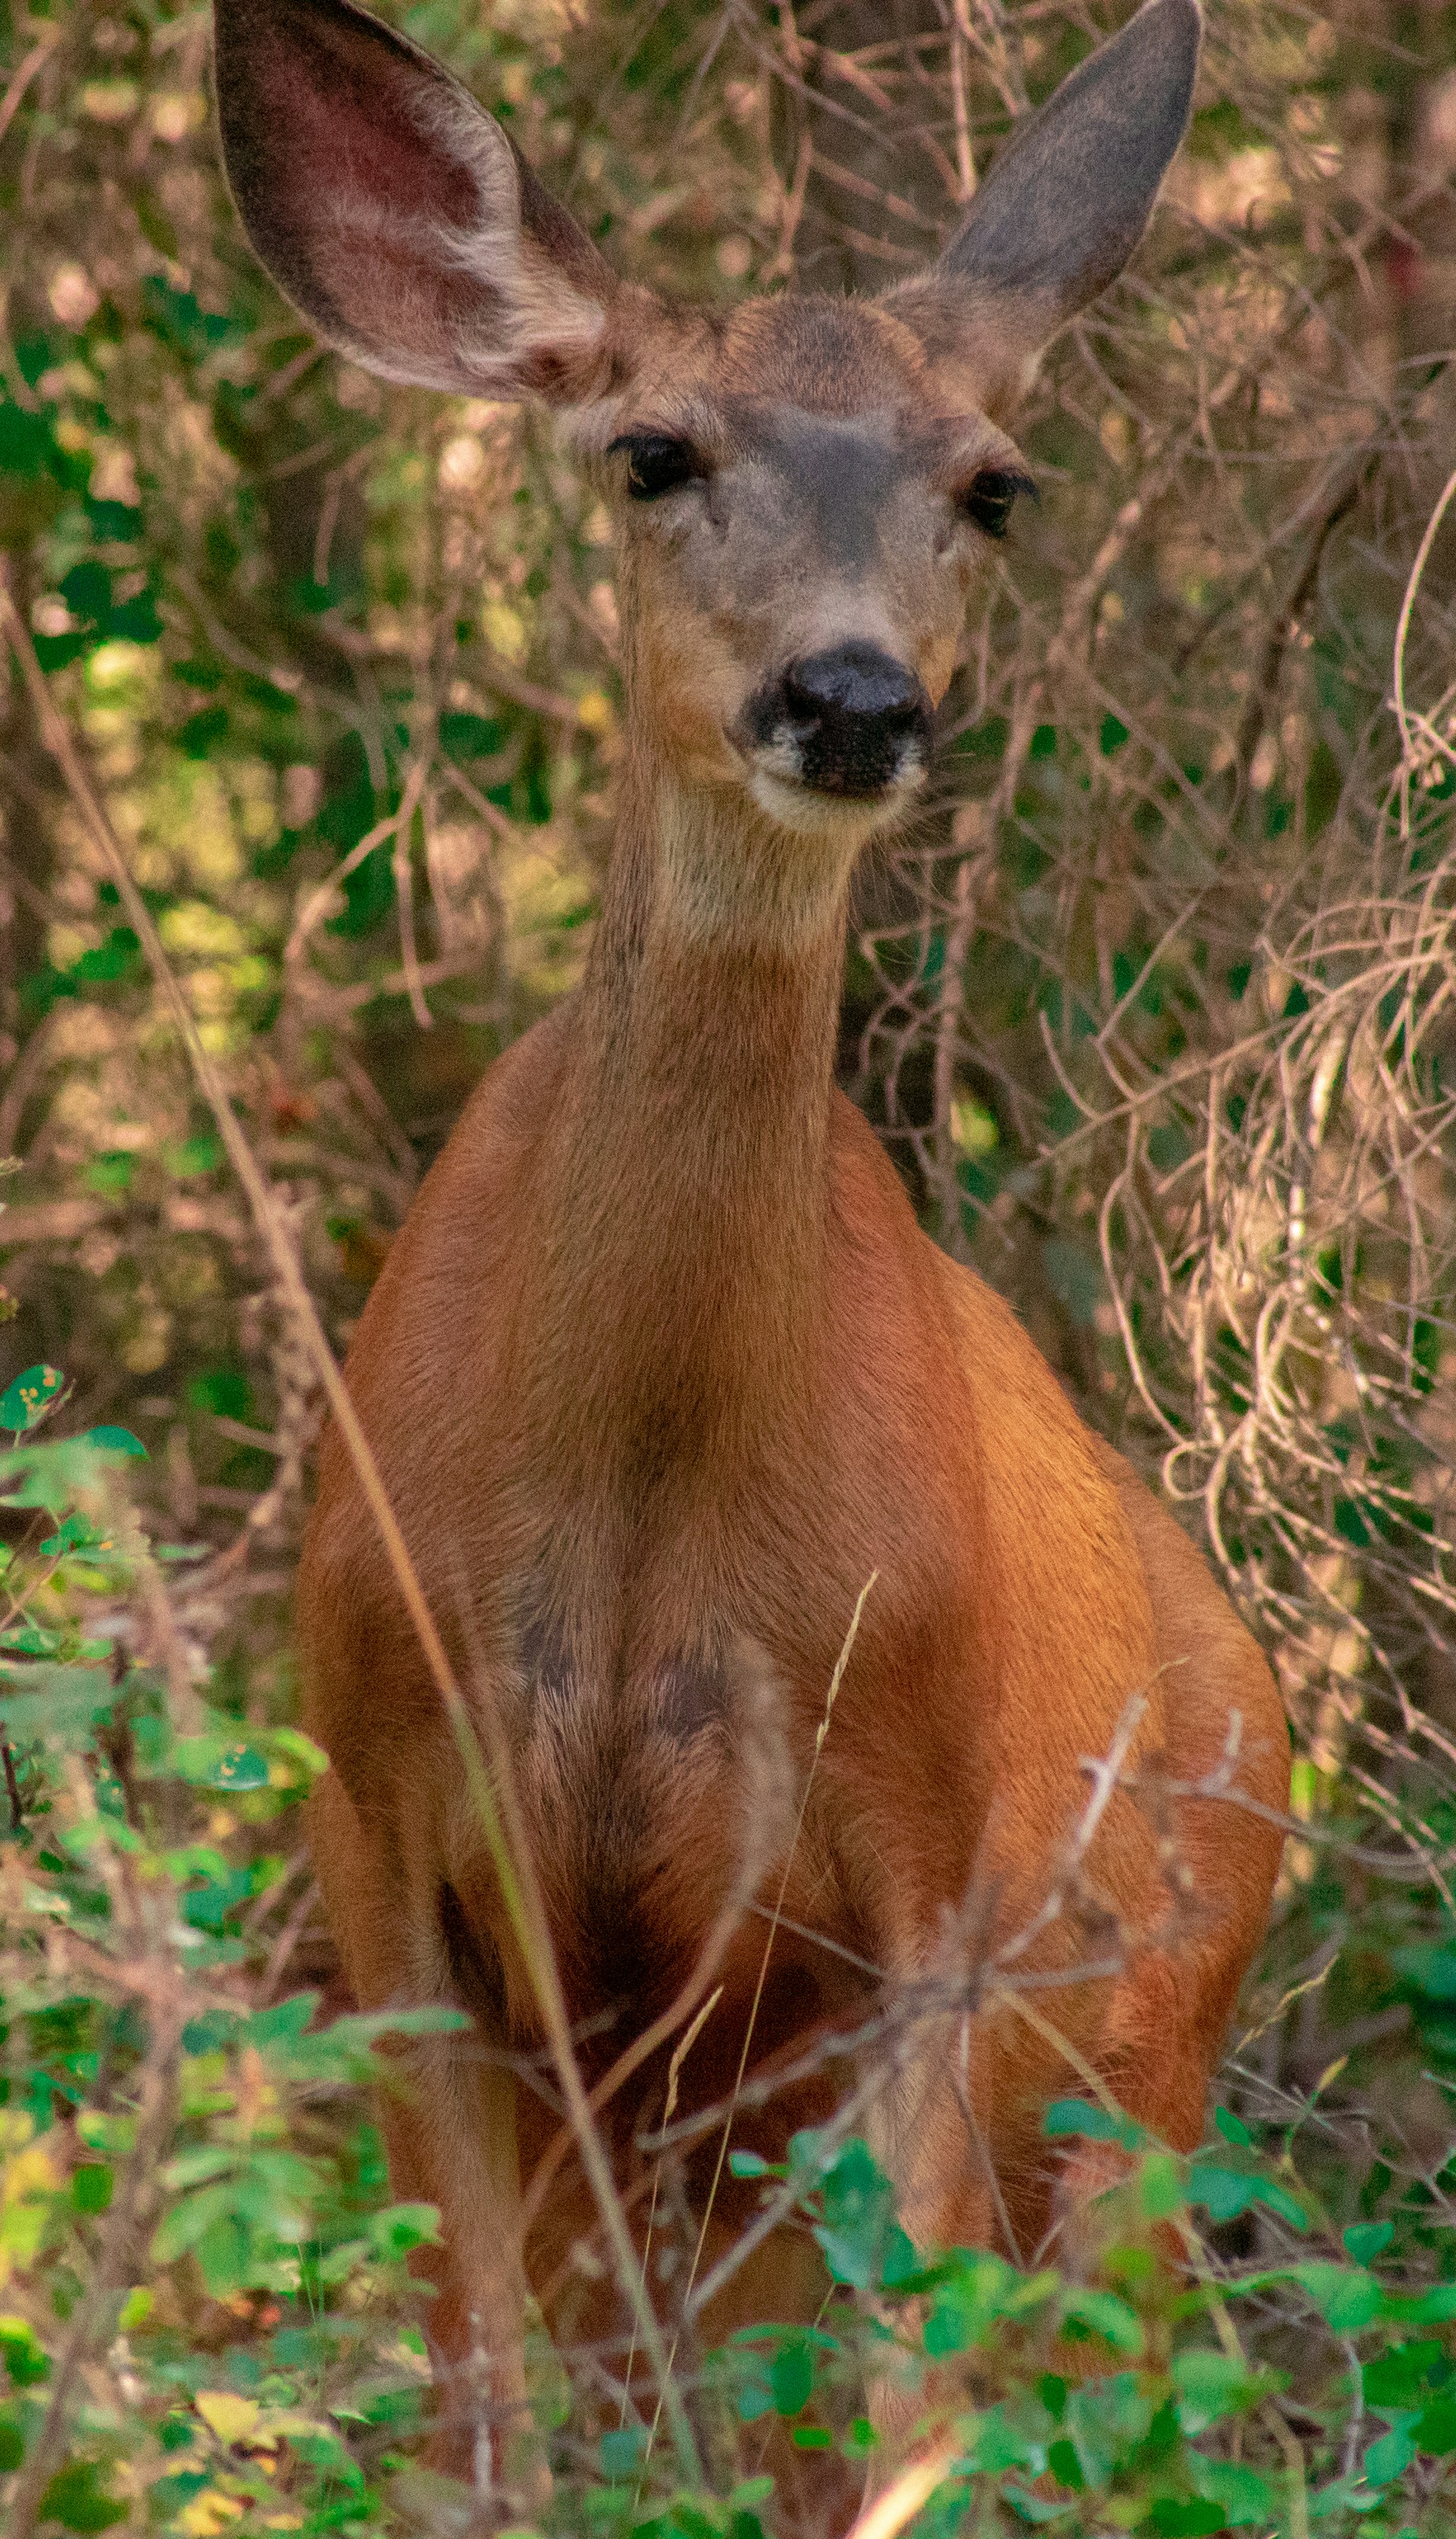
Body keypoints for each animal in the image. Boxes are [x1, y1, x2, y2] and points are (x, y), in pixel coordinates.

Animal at [214, 0, 1289, 2511]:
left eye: (992, 483)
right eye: (651, 452)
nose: (854, 697)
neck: (631, 1529)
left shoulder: (925, 1860)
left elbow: (899, 2431)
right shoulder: (371, 1804)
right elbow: (484, 2417)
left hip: (1136, 2089)